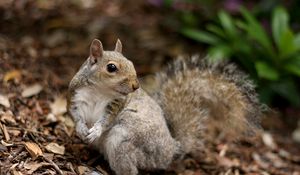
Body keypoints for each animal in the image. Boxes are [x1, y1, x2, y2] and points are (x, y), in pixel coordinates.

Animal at [67, 38, 260, 175]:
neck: (99, 91)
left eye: (132, 63)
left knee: (131, 169)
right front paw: (81, 129)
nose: (136, 86)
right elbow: (76, 116)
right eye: (111, 67)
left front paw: (96, 130)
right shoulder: (76, 97)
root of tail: (172, 150)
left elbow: (106, 120)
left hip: (125, 140)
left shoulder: (116, 105)